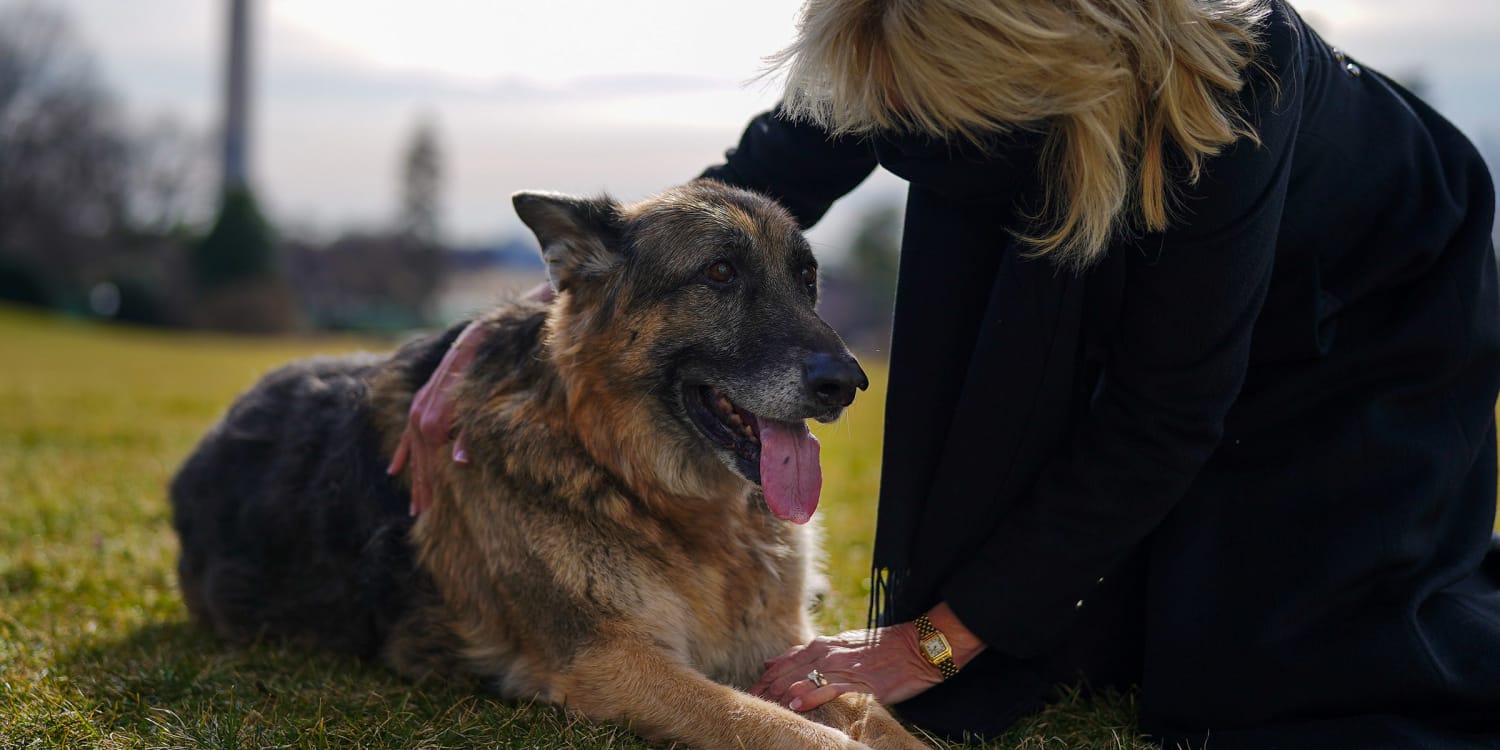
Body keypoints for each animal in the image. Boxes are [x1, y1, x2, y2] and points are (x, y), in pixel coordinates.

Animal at [172, 181, 924, 750]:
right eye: (719, 273)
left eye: (807, 277)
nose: (848, 382)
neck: (630, 478)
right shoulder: (613, 662)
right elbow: (784, 729)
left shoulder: (786, 649)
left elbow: (873, 715)